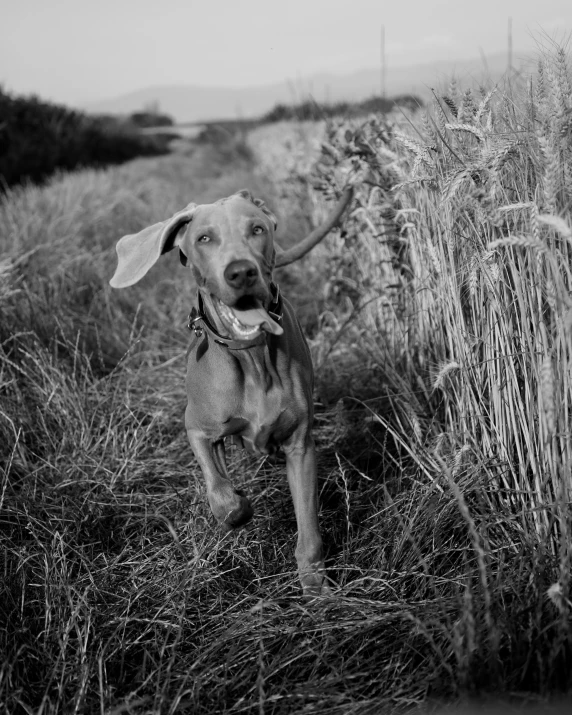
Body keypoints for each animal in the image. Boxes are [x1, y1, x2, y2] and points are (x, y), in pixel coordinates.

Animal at [110, 187, 354, 596]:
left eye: (256, 229)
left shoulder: (301, 446)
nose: (240, 271)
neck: (252, 358)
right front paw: (237, 510)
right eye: (204, 239)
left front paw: (316, 585)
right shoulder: (196, 428)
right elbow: (221, 490)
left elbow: (308, 524)